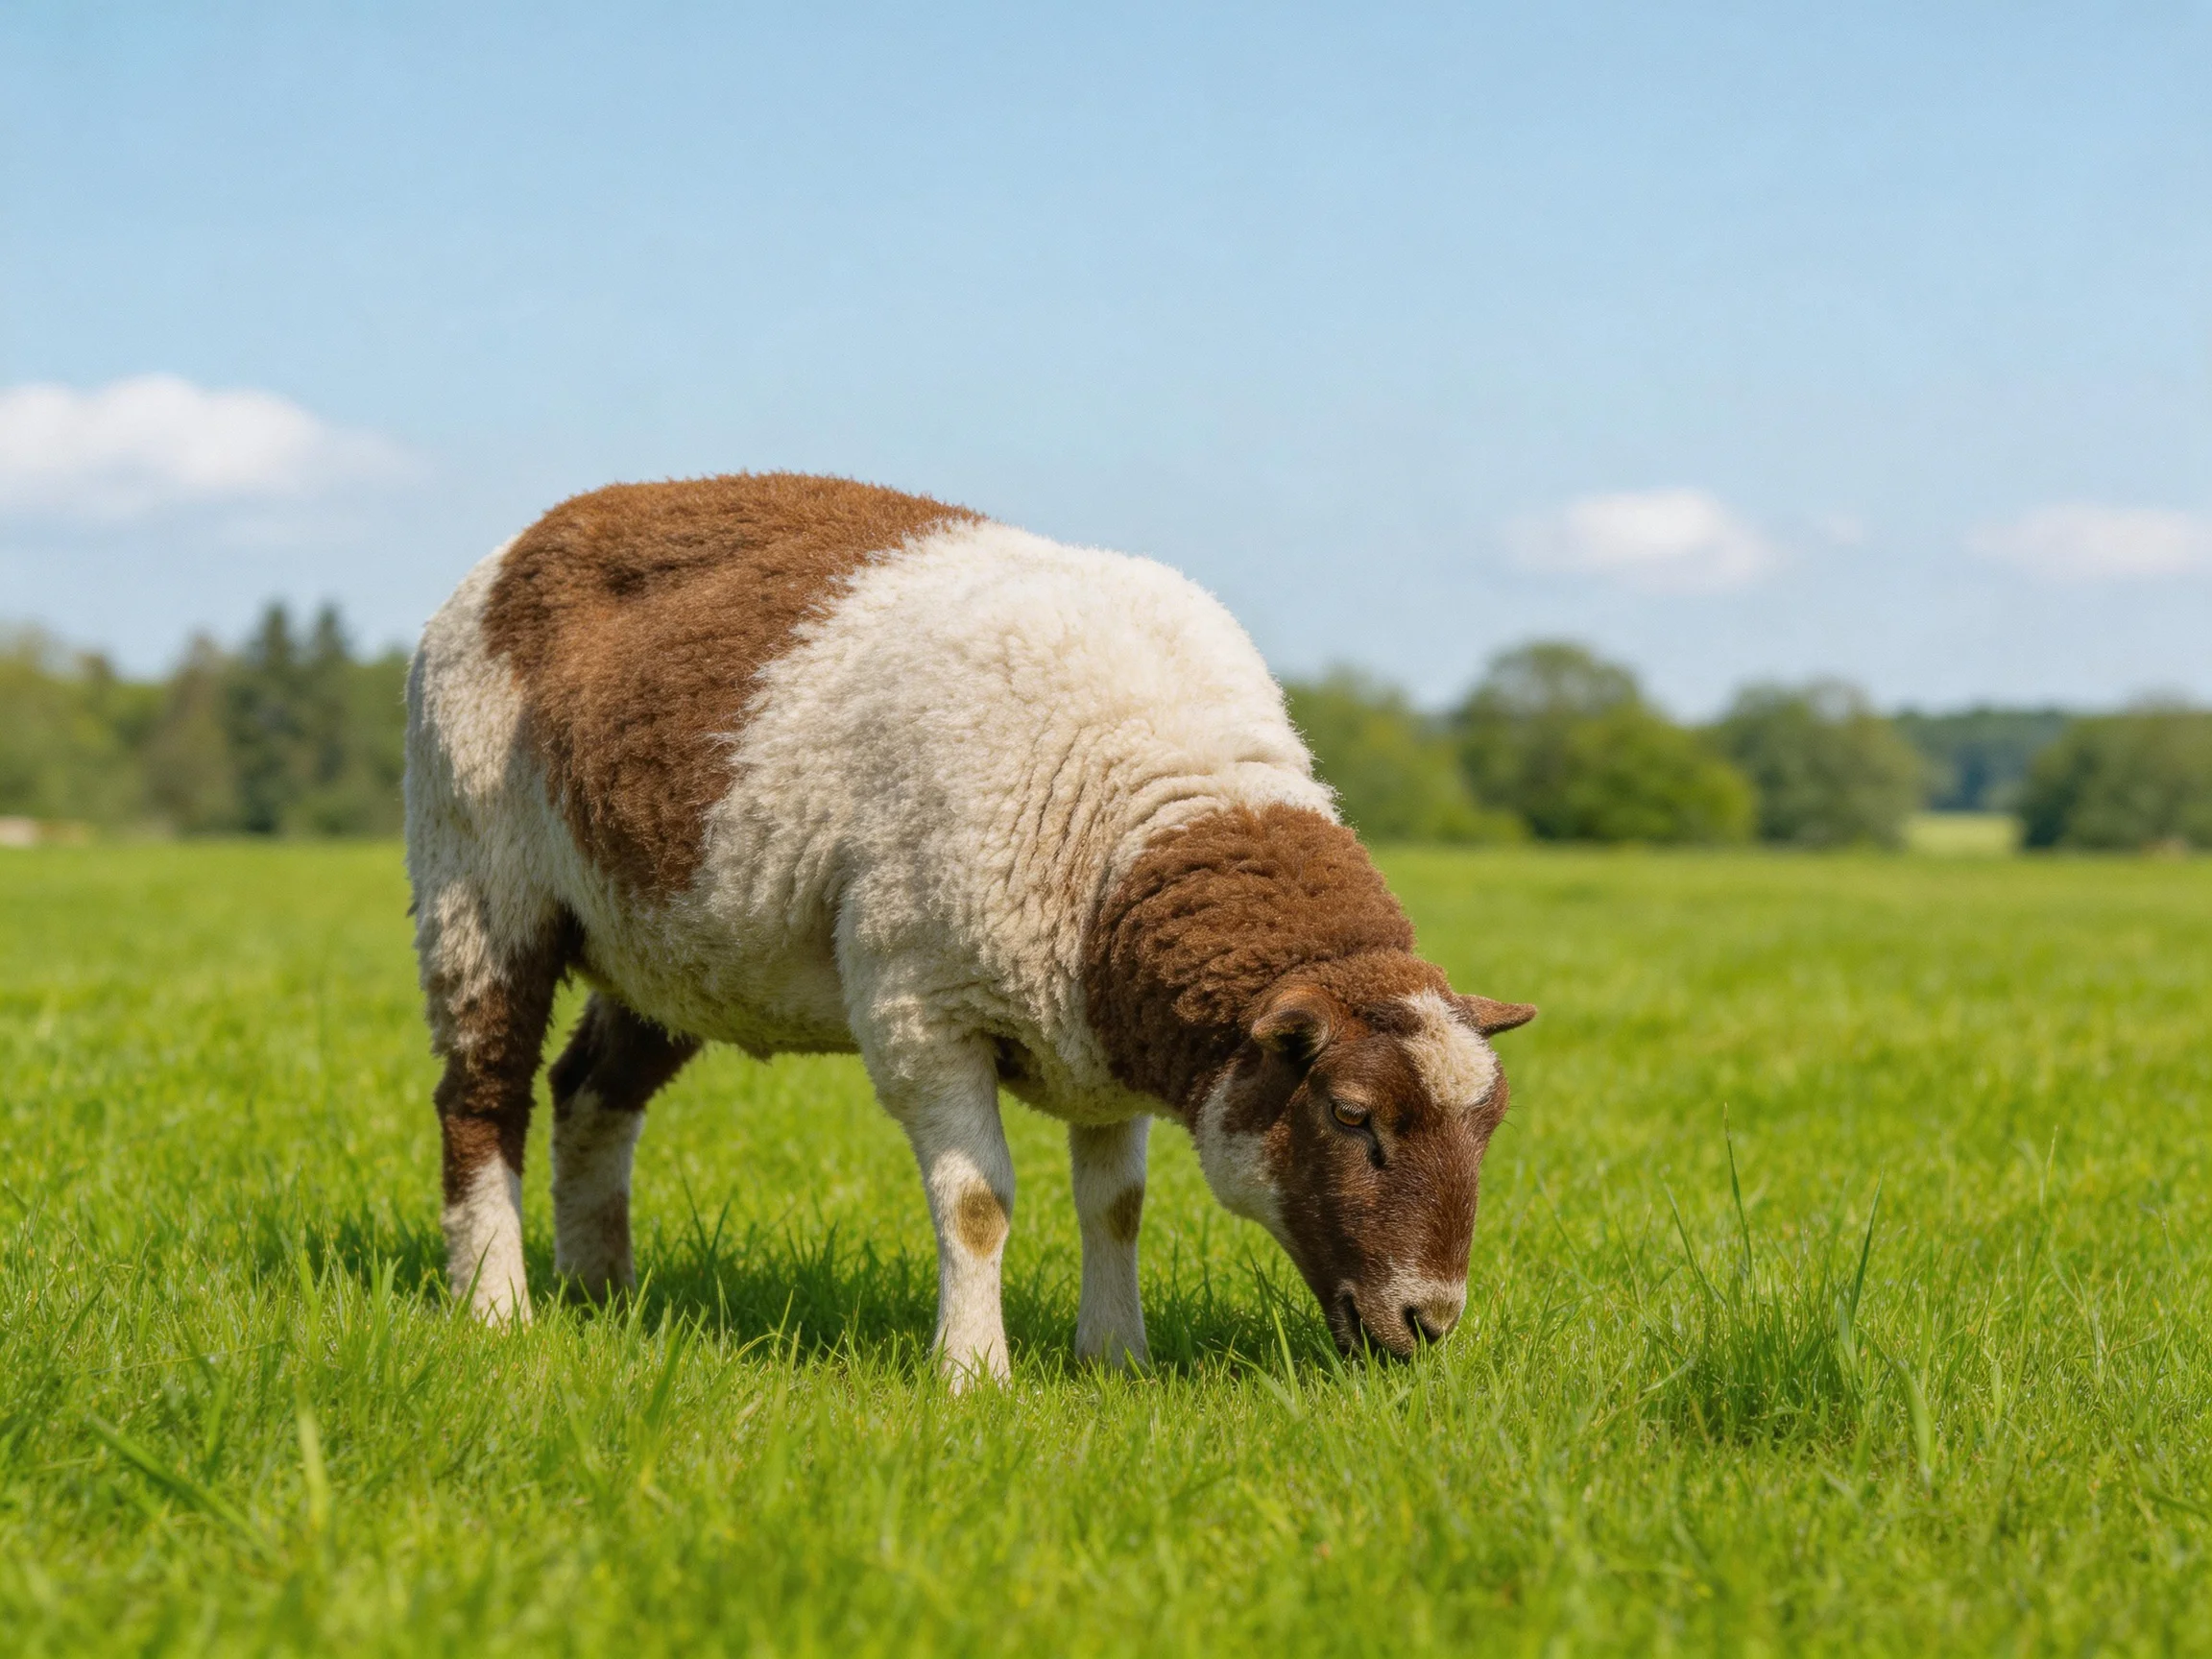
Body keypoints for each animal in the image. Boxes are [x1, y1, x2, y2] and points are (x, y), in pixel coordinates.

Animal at [405, 473, 1534, 1381]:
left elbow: (1116, 1205)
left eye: (1490, 1128)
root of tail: (533, 537)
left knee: (589, 1093)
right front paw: (973, 1376)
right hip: (476, 881)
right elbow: (978, 1206)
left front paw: (1114, 1359)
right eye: (1351, 1116)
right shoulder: (924, 1009)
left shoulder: (1097, 1035)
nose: (1428, 1324)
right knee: (484, 1096)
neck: (1149, 805)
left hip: (664, 944)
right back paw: (496, 1304)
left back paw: (602, 1291)